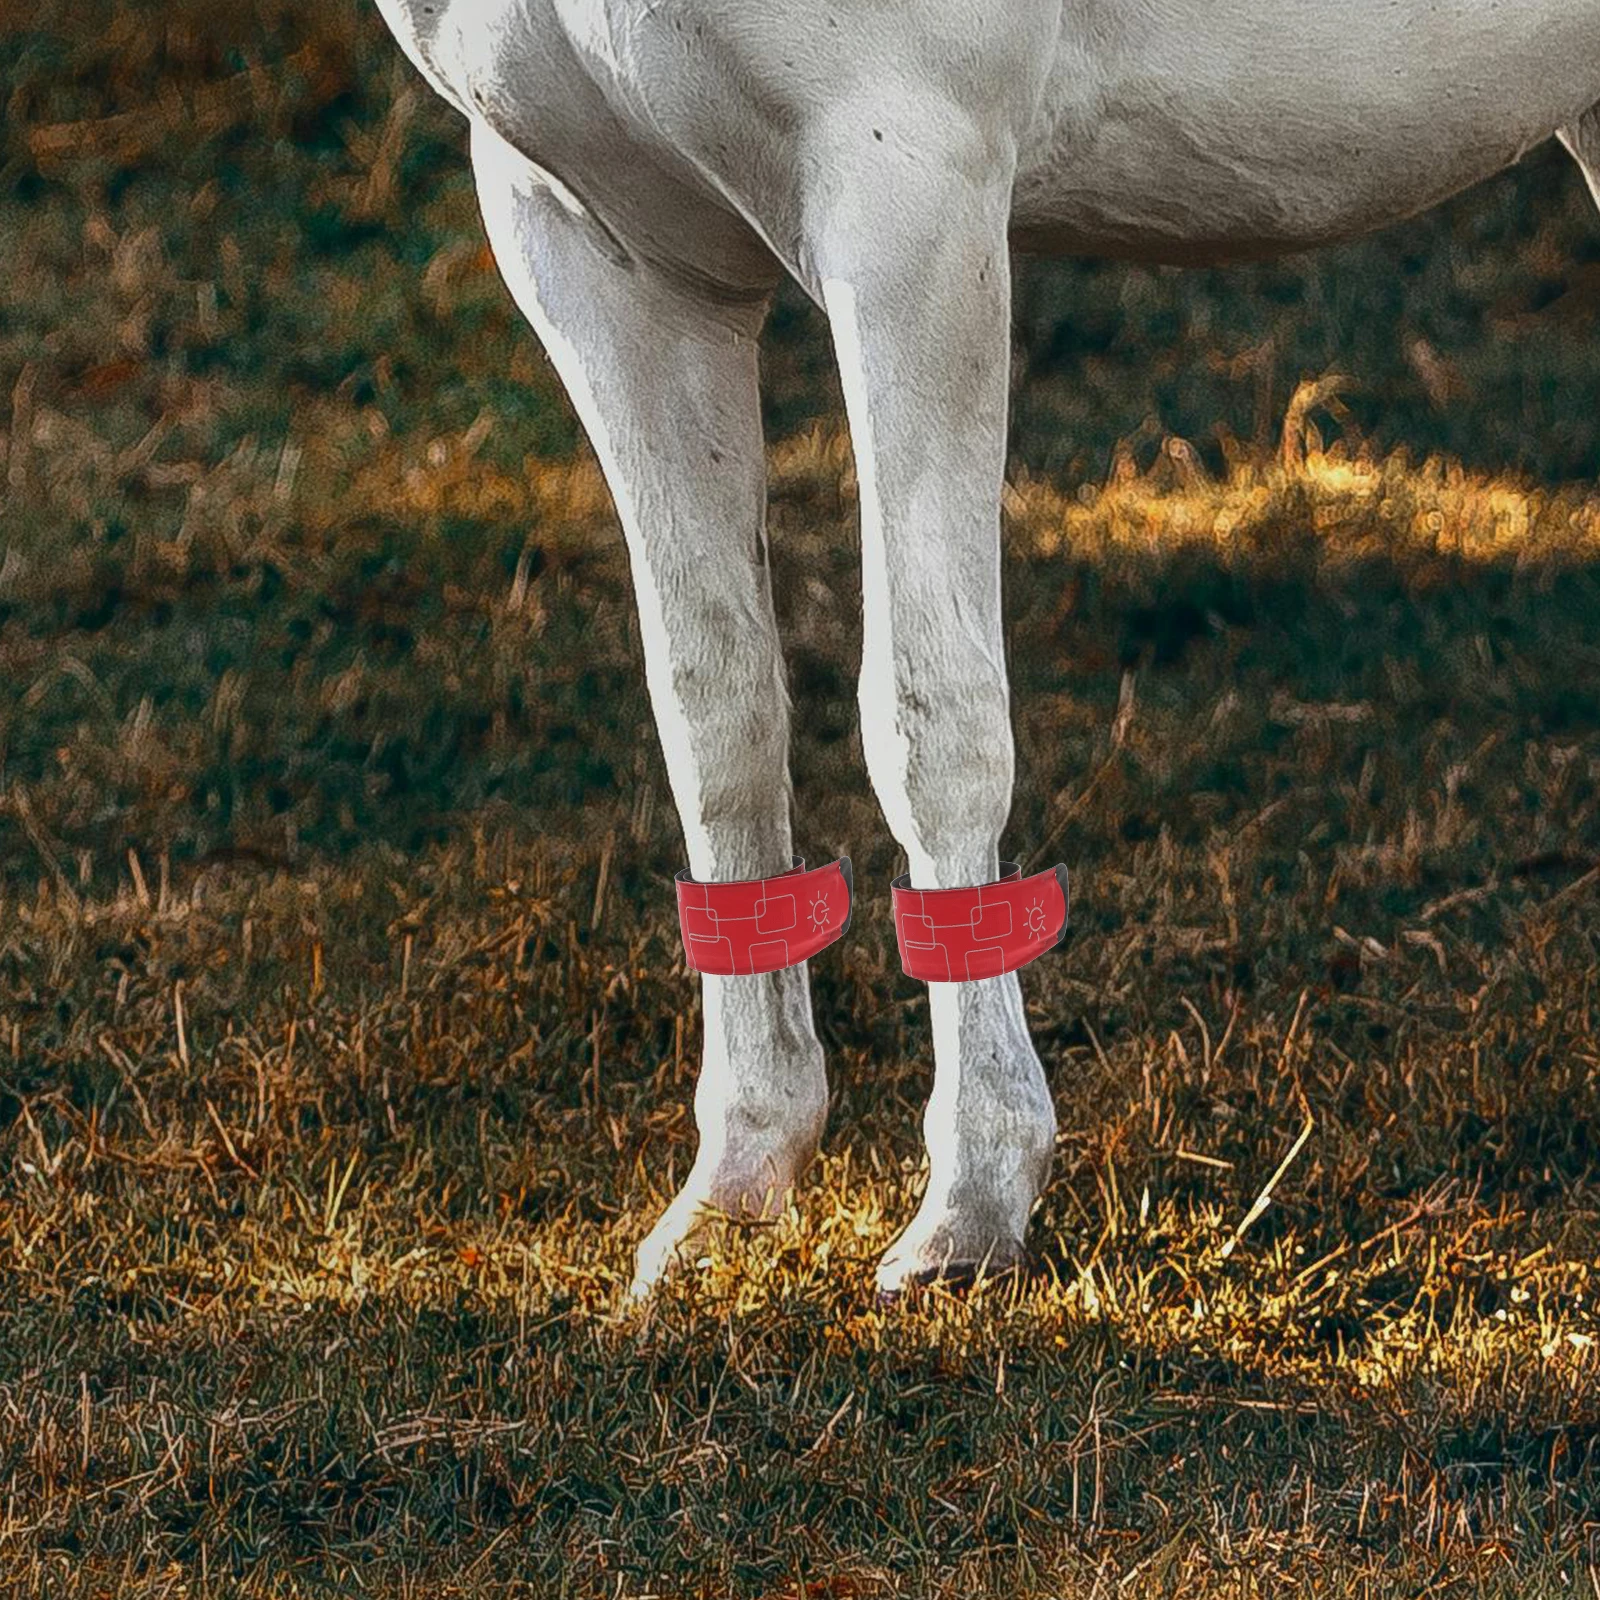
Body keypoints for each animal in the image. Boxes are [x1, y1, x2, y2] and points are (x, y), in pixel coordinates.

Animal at [369, 0, 1600, 1297]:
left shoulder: (908, 191)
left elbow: (927, 720)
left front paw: (970, 1206)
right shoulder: (600, 250)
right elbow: (715, 707)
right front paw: (734, 1184)